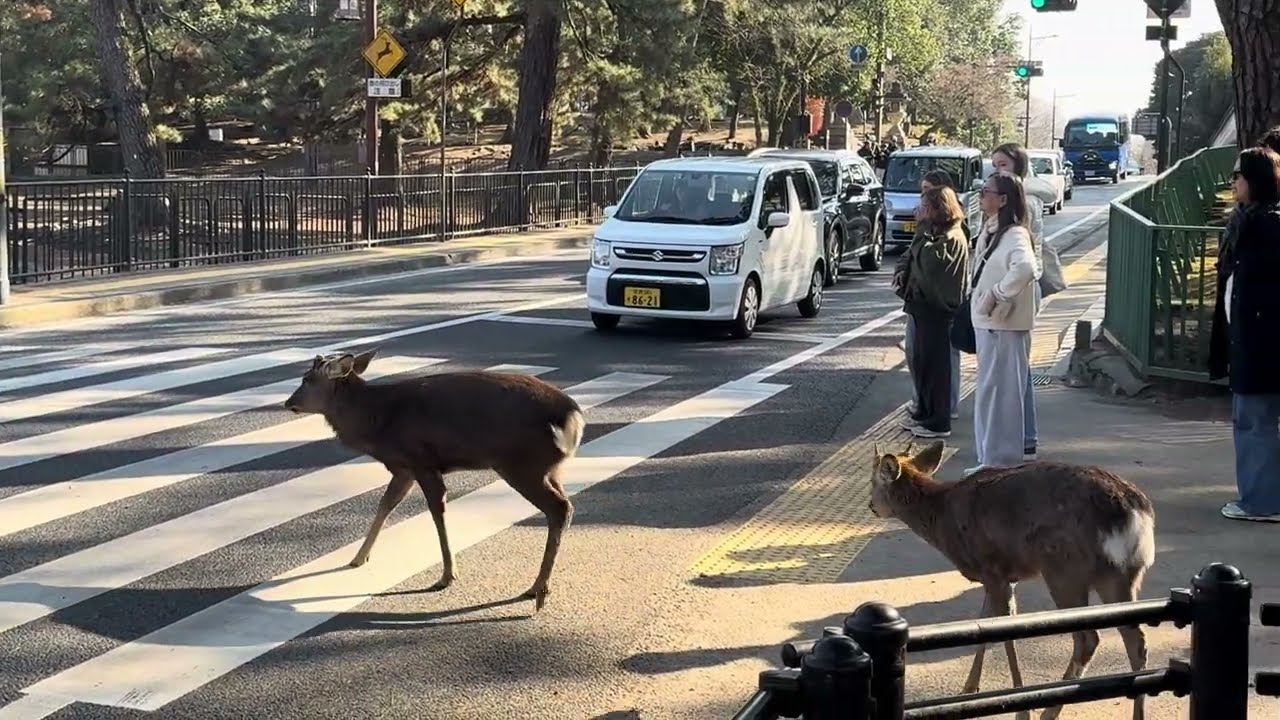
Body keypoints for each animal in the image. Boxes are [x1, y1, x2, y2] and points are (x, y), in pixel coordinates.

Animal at [283, 349, 586, 612]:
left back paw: (537, 589)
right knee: (565, 506)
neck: (376, 422)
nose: (288, 402)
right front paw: (358, 558)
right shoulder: (403, 468)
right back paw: (540, 586)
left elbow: (436, 511)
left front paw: (447, 575)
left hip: (520, 464)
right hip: (549, 469)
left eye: (307, 379)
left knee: (558, 509)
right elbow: (385, 505)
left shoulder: (421, 460)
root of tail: (572, 416)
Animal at [868, 441, 1156, 720]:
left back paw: (1048, 712)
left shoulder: (993, 570)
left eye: (873, 481)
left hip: (1064, 570)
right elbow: (984, 624)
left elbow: (1006, 632)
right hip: (1122, 575)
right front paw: (969, 688)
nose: (871, 506)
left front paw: (1022, 710)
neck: (942, 520)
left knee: (1088, 639)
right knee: (1136, 640)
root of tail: (1135, 514)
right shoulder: (999, 576)